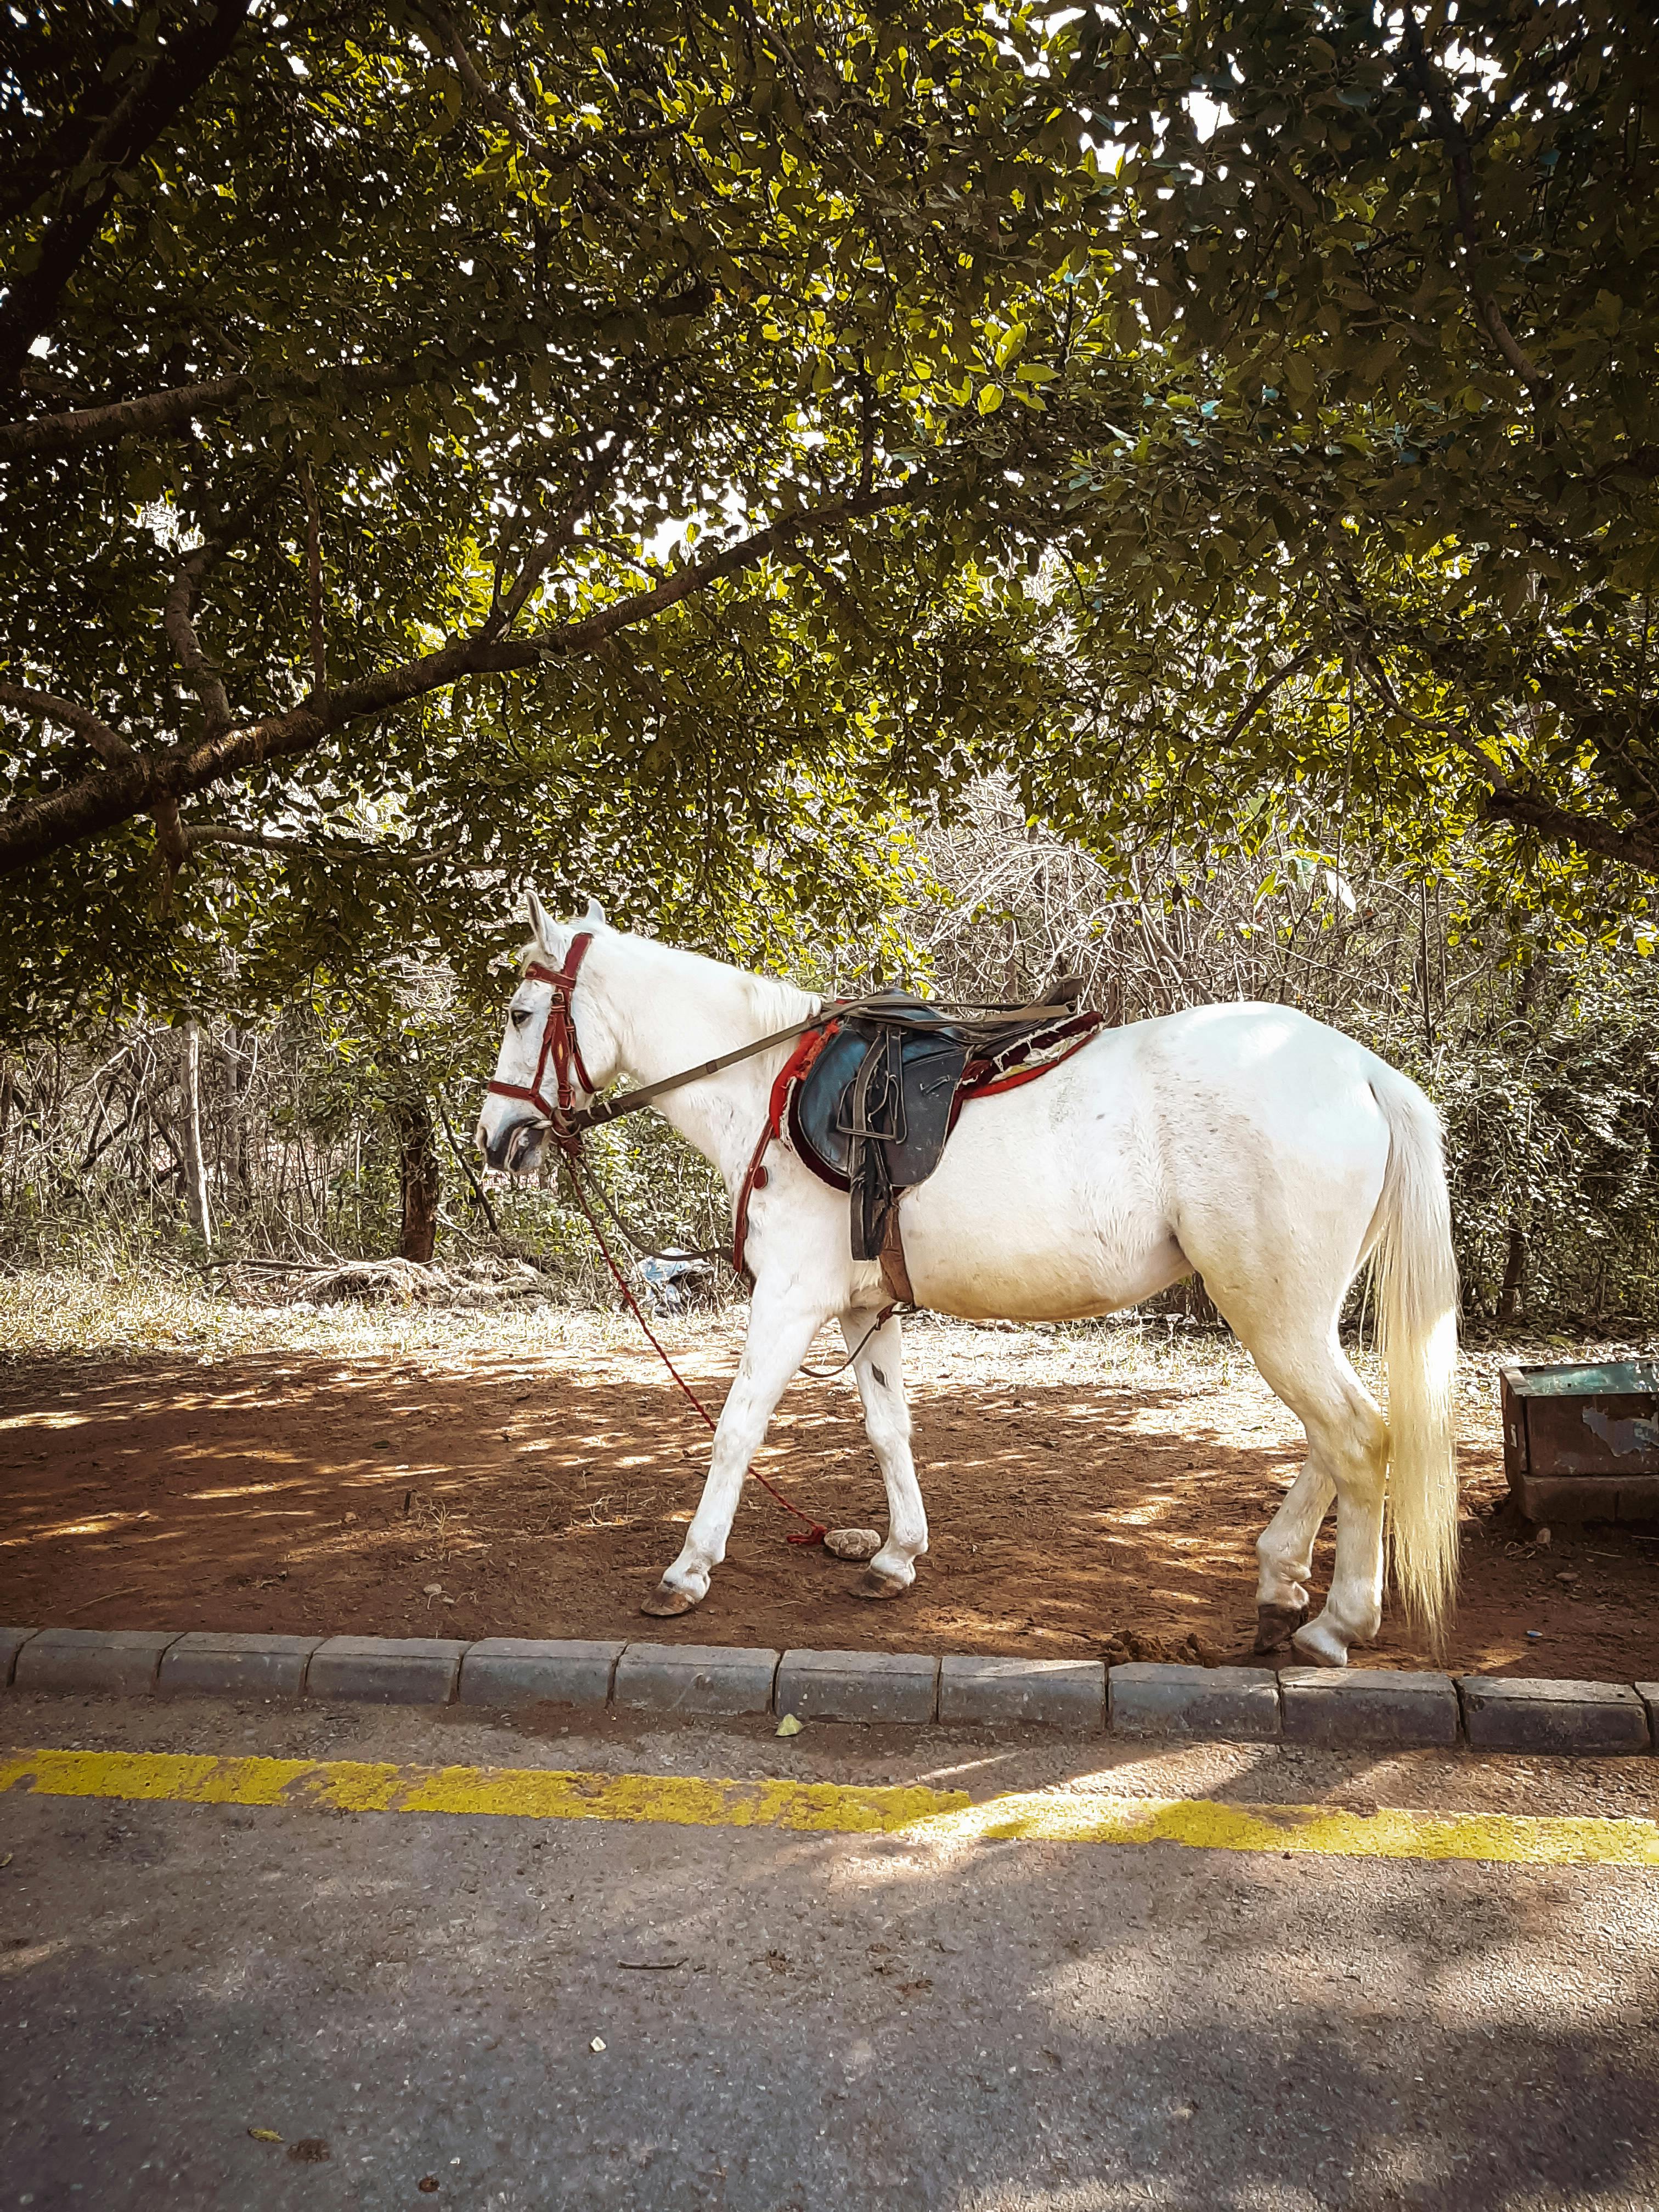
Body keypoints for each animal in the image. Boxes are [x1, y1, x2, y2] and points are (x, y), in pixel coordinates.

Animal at [475, 895, 1460, 1668]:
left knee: (1356, 1440)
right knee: (1333, 1443)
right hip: (1294, 1312)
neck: (767, 1086)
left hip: (1271, 1310)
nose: (495, 1139)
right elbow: (886, 1430)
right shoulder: (863, 1311)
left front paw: (687, 1571)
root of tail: (1359, 1067)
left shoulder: (788, 1300)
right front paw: (895, 1557)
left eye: (521, 1013)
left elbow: (735, 1429)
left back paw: (1337, 1622)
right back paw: (1279, 1584)